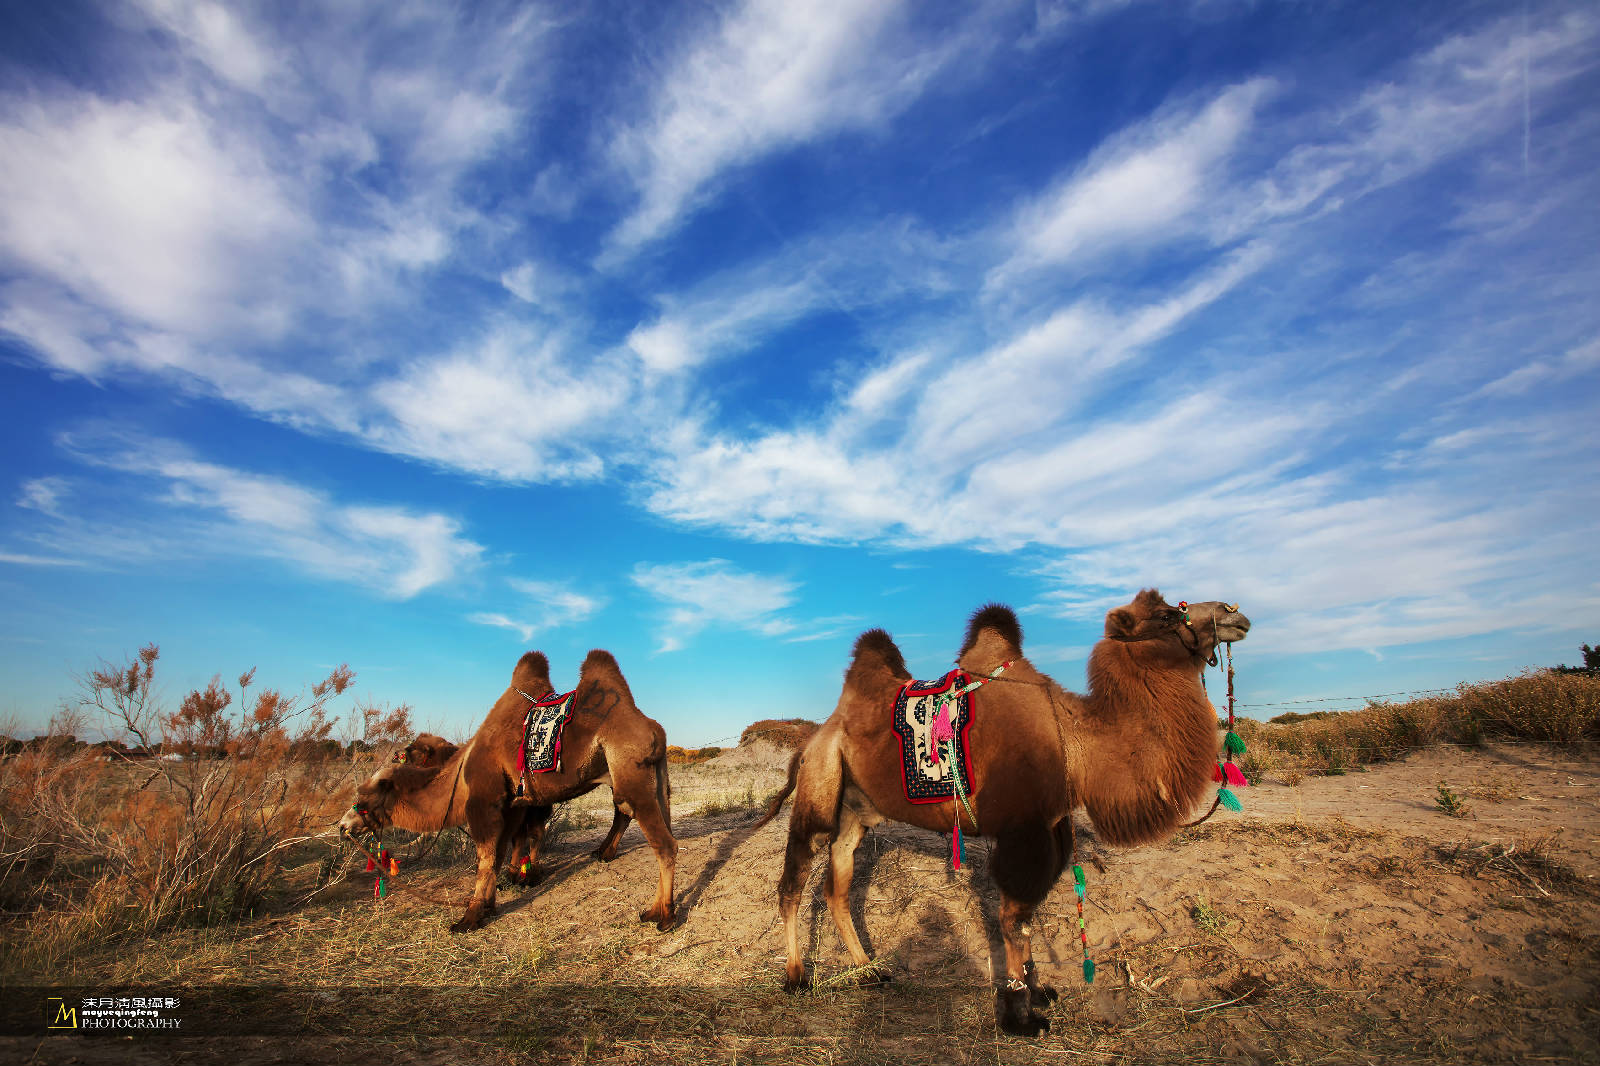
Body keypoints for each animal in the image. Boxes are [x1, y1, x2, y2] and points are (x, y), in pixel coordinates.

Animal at [340, 643, 678, 928]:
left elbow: (486, 858)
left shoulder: (484, 803)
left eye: (364, 797)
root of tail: (653, 729)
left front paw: (470, 917)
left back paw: (662, 915)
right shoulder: (514, 804)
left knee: (663, 842)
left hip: (630, 771)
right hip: (652, 779)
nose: (343, 825)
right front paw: (496, 897)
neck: (460, 775)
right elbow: (506, 849)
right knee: (641, 817)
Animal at [758, 589, 1248, 1030]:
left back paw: (870, 972)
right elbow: (1014, 921)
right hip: (820, 788)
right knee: (794, 881)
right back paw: (796, 978)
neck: (1077, 743)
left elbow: (1026, 918)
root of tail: (814, 737)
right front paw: (1019, 1014)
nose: (1234, 612)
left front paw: (1038, 991)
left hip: (856, 811)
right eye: (1167, 615)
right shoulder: (1022, 830)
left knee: (836, 885)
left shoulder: (1051, 828)